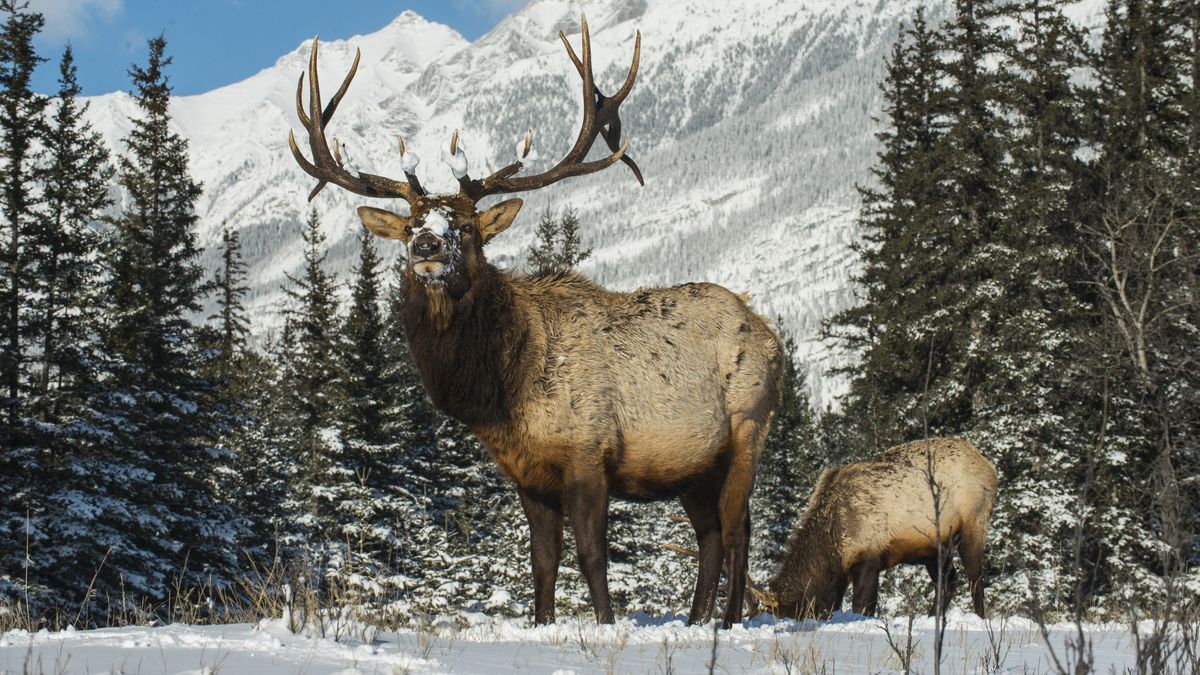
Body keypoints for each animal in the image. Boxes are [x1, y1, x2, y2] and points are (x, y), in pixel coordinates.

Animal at [285, 15, 782, 624]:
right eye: (408, 227)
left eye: (466, 227)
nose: (426, 246)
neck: (502, 391)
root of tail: (772, 336)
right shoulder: (528, 475)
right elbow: (541, 562)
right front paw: (542, 622)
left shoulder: (588, 455)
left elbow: (592, 557)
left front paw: (606, 624)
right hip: (693, 466)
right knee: (711, 536)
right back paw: (695, 620)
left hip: (747, 430)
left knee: (738, 533)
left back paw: (727, 622)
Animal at [763, 437, 998, 614]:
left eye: (792, 613)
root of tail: (990, 467)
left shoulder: (868, 559)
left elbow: (862, 607)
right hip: (934, 546)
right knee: (948, 583)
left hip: (973, 524)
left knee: (975, 579)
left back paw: (980, 617)